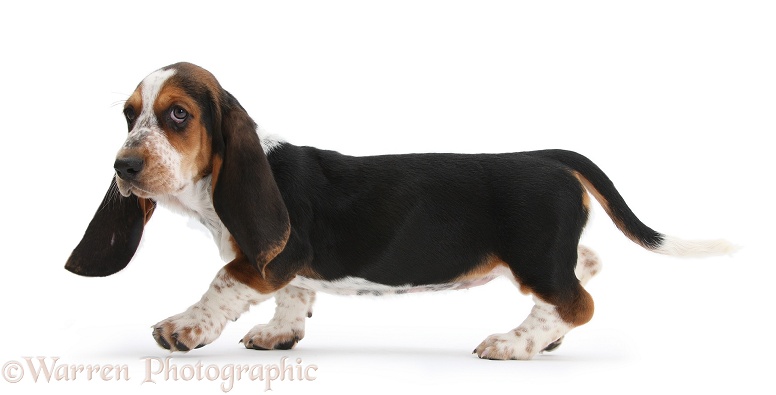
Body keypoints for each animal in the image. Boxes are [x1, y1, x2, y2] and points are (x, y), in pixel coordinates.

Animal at [65, 61, 732, 358]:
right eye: (129, 115)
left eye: (178, 114)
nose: (123, 168)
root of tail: (546, 156)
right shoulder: (290, 270)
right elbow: (295, 298)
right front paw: (282, 334)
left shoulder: (263, 261)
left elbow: (220, 286)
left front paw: (184, 327)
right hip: (547, 253)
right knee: (587, 265)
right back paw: (539, 337)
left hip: (534, 256)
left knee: (579, 300)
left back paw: (515, 342)